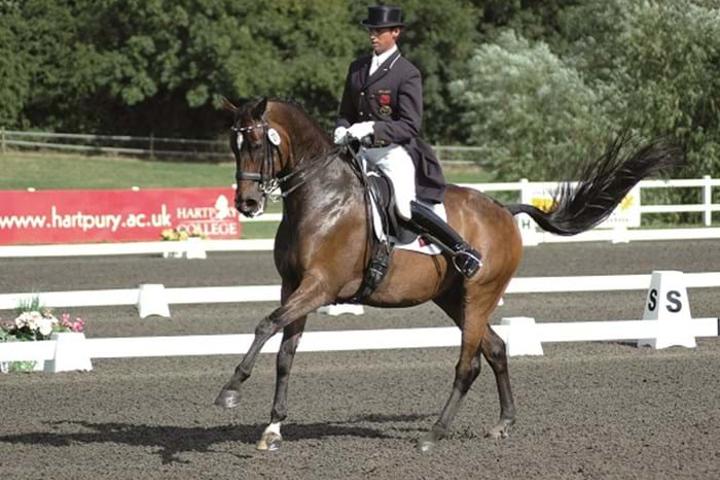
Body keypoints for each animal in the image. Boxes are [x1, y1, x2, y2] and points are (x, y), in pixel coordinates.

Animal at [215, 95, 680, 452]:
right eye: (234, 145)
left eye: (255, 140)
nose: (248, 204)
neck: (322, 199)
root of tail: (504, 209)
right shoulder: (293, 285)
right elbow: (285, 353)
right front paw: (273, 428)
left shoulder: (320, 286)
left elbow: (266, 325)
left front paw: (230, 390)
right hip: (454, 299)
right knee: (496, 349)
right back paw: (503, 423)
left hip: (479, 294)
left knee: (468, 364)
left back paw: (434, 434)